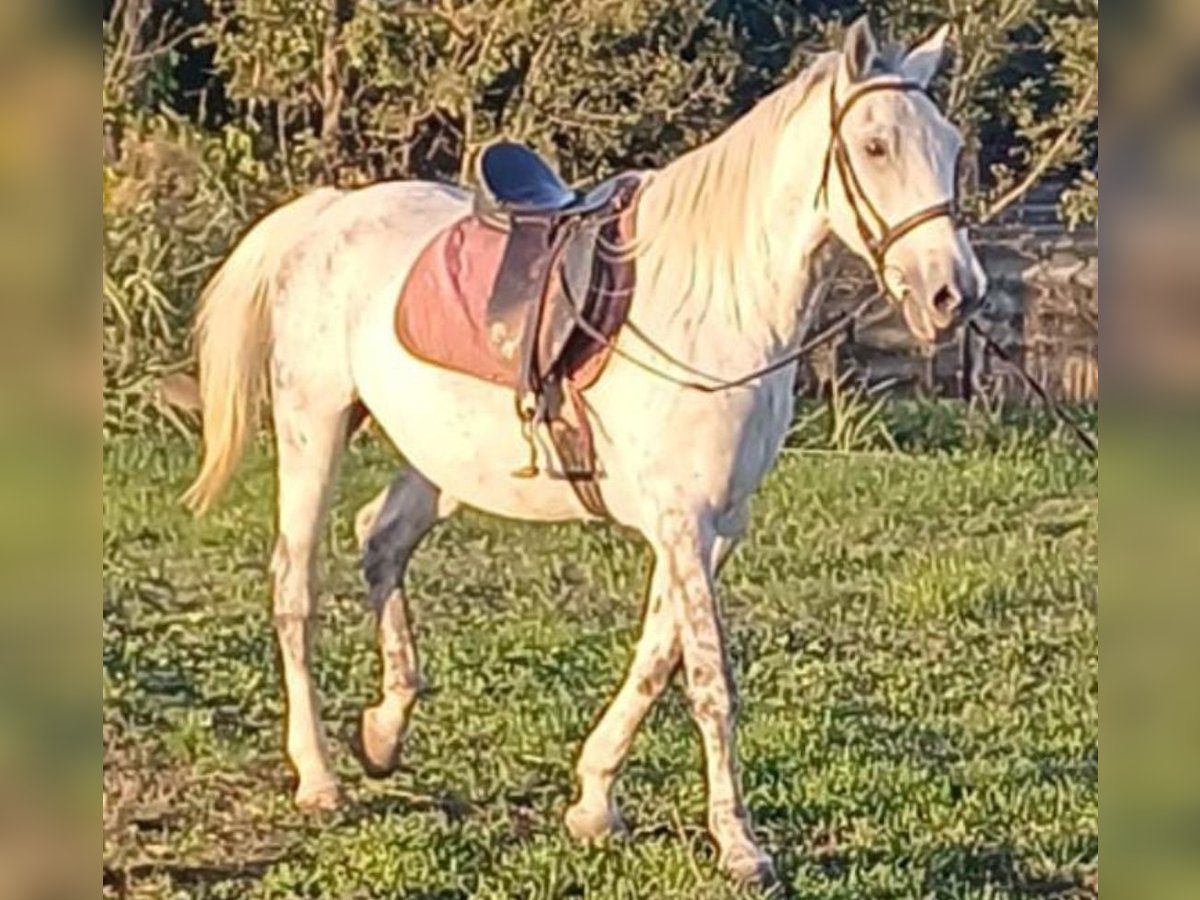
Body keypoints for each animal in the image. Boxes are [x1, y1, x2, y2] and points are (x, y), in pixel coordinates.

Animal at [180, 17, 984, 883]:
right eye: (874, 145)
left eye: (949, 144)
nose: (954, 293)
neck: (714, 306)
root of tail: (326, 215)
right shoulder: (684, 523)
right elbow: (709, 679)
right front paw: (739, 844)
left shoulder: (713, 527)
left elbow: (658, 658)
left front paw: (595, 800)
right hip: (314, 427)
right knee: (295, 586)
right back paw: (320, 775)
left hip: (437, 462)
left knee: (379, 541)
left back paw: (384, 732)